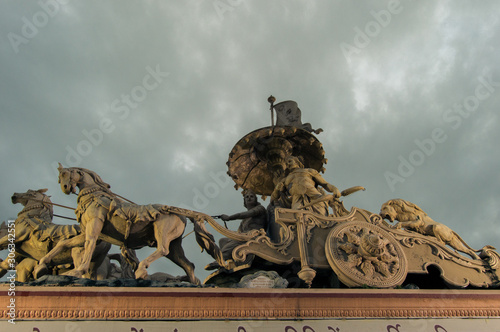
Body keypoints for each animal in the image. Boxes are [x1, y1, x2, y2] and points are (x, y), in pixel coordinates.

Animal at [36, 163, 227, 282]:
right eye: (59, 178)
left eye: (64, 174)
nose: (65, 188)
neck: (94, 195)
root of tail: (179, 212)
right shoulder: (87, 232)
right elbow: (63, 244)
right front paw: (41, 266)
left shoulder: (94, 228)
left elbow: (88, 246)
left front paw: (77, 271)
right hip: (175, 244)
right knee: (188, 265)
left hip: (163, 233)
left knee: (162, 249)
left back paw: (141, 269)